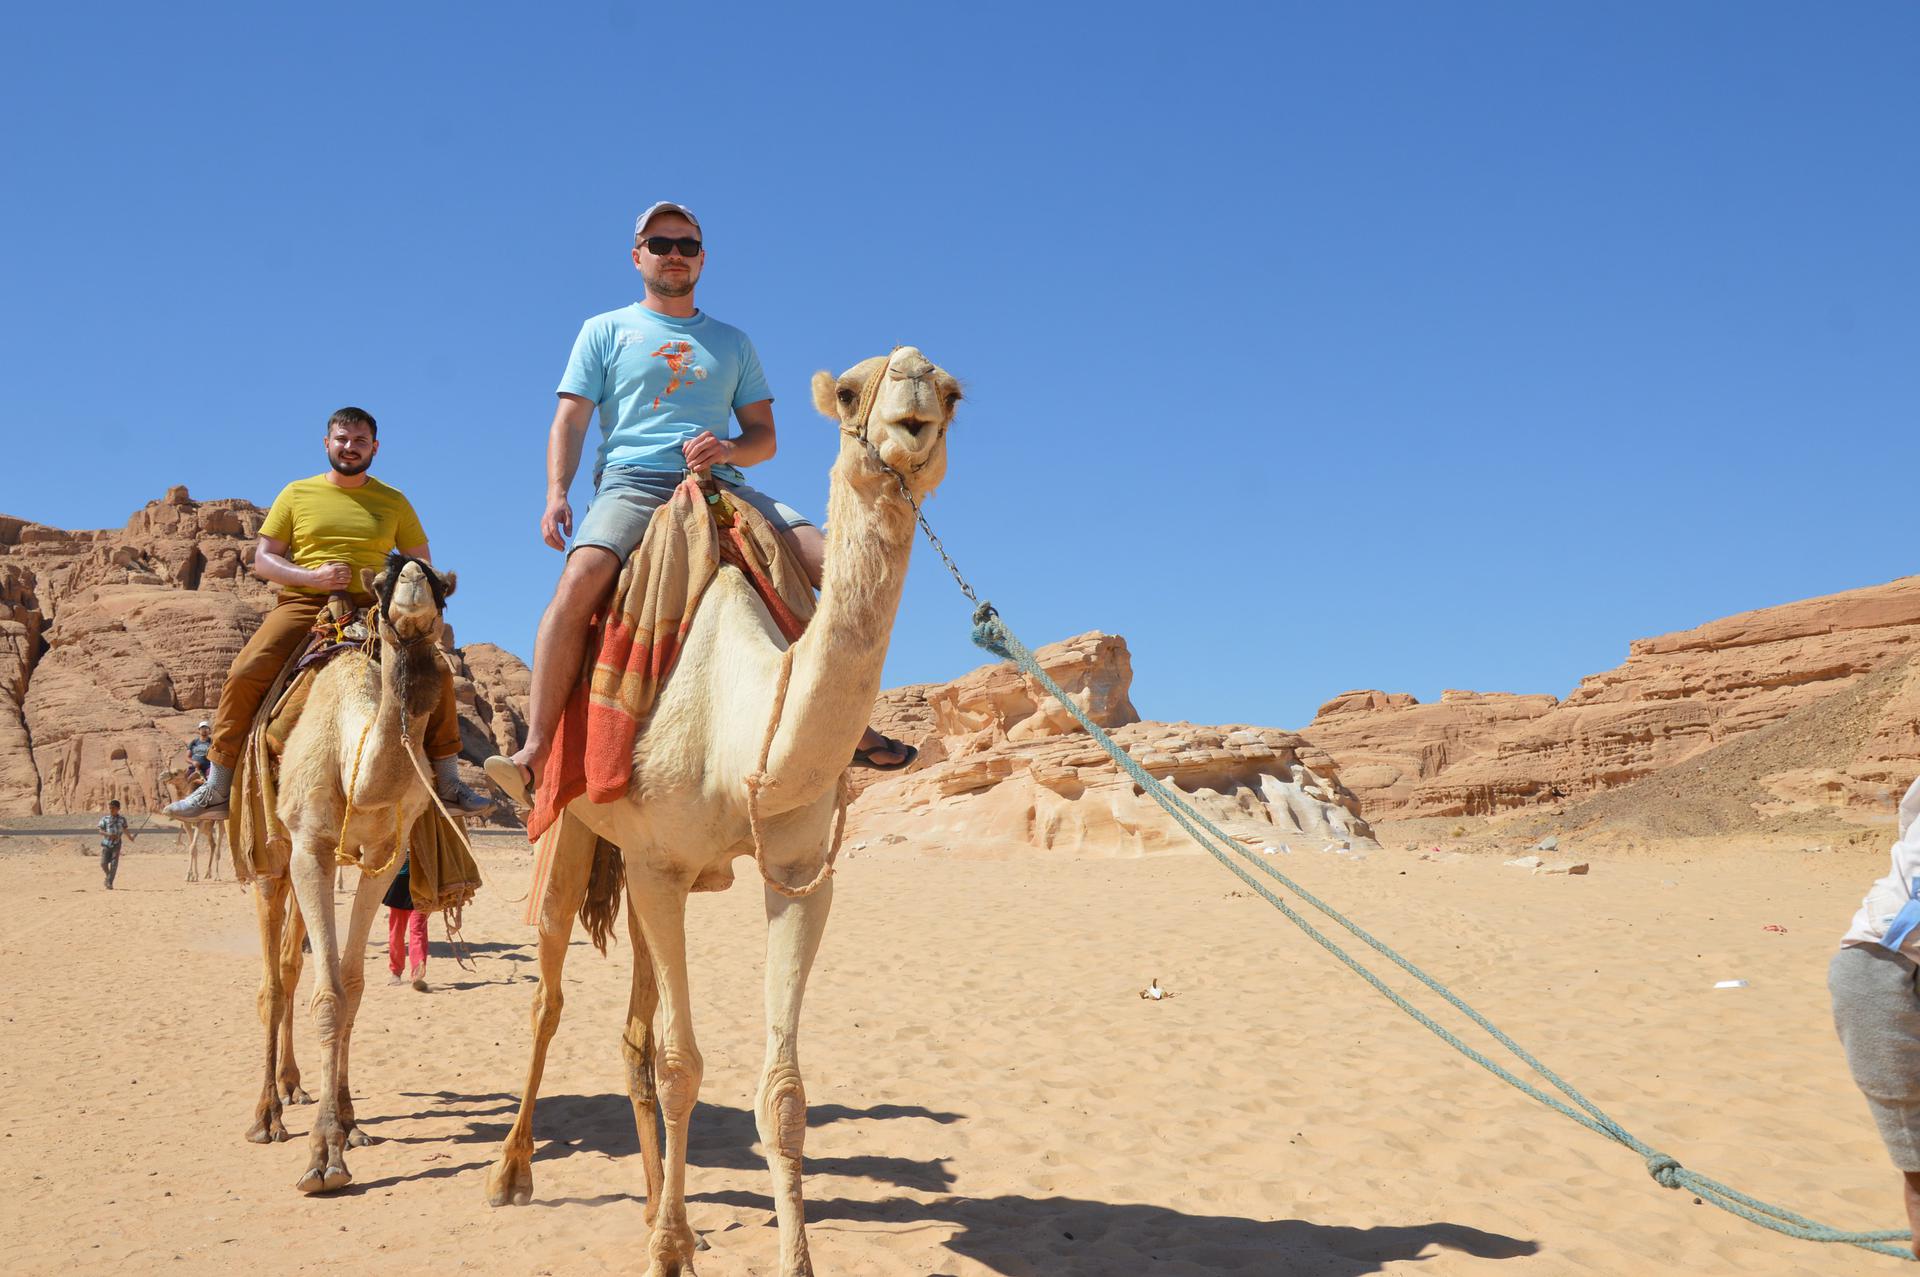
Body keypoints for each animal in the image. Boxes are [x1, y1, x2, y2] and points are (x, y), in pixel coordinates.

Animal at [249, 557, 455, 1191]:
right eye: (384, 581)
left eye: (442, 584)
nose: (411, 578)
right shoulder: (310, 849)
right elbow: (329, 996)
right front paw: (322, 1158)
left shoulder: (382, 859)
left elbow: (353, 986)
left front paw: (347, 1123)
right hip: (272, 859)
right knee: (272, 981)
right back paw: (266, 1115)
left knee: (291, 965)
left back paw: (294, 1088)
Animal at [485, 347, 960, 1277]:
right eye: (850, 391)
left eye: (954, 394)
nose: (917, 386)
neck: (736, 722)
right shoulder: (659, 867)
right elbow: (681, 1066)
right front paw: (667, 1252)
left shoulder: (798, 874)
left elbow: (782, 1092)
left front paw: (743, 1249)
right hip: (572, 831)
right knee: (548, 994)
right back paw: (512, 1173)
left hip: (639, 877)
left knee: (632, 1029)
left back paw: (651, 1205)